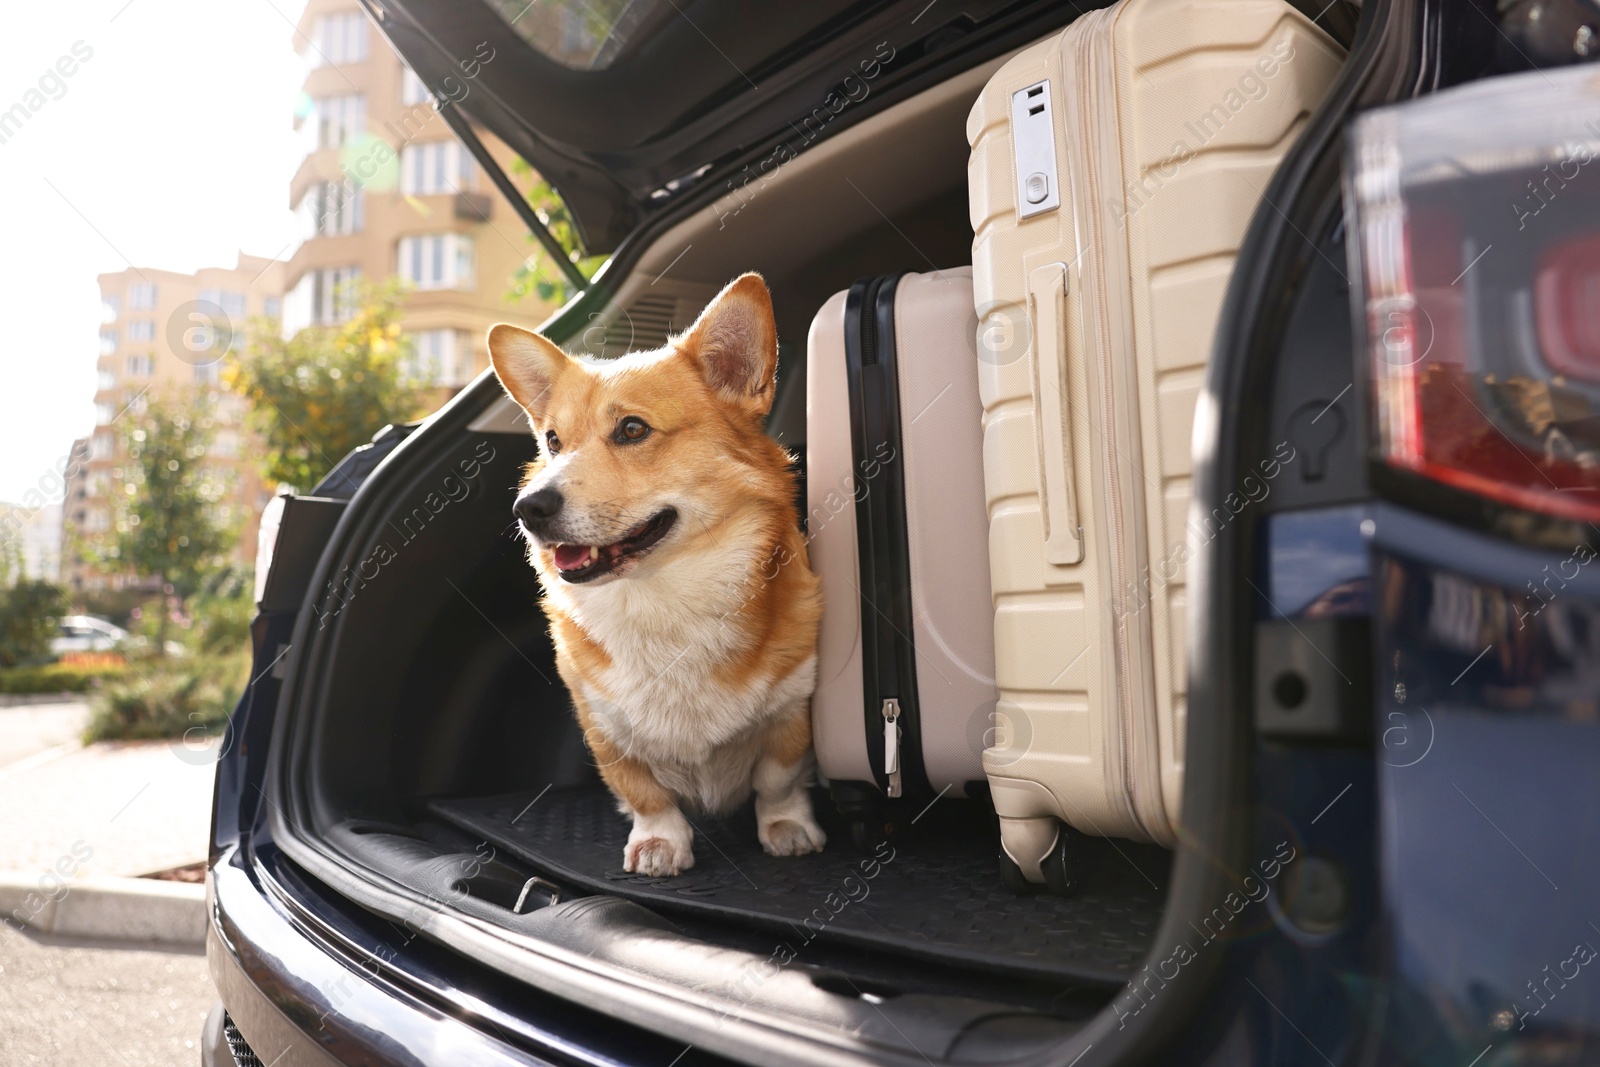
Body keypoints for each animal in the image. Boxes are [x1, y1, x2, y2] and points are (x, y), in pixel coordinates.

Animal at [486, 273, 825, 876]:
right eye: (553, 442)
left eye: (632, 429)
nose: (529, 508)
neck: (660, 598)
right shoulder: (602, 726)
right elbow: (644, 792)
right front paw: (660, 843)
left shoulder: (792, 708)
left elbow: (777, 781)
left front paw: (786, 828)